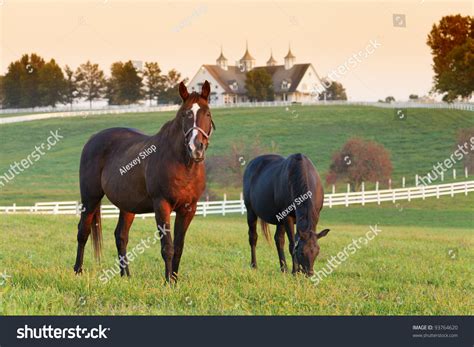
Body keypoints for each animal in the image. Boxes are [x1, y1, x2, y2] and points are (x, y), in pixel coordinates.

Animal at [73, 81, 216, 282]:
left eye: (207, 113)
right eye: (184, 114)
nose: (196, 148)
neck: (183, 164)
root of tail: (93, 139)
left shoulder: (188, 209)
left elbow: (179, 248)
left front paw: (175, 280)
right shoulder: (162, 205)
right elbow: (167, 247)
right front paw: (168, 283)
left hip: (127, 205)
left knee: (121, 236)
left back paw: (125, 276)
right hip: (90, 198)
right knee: (83, 231)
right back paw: (78, 270)